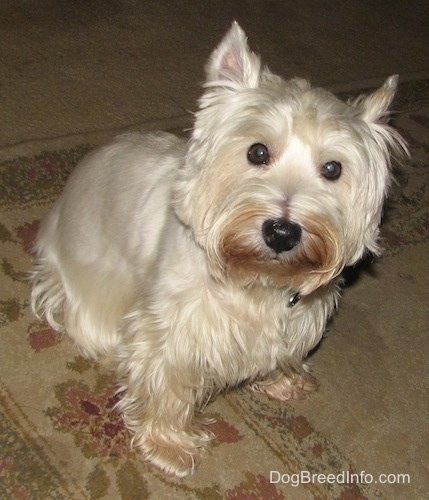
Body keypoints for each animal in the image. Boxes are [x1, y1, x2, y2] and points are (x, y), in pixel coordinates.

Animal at [30, 23, 404, 476]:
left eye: (333, 168)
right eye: (257, 151)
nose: (282, 232)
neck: (257, 278)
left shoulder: (298, 318)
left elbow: (283, 352)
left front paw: (284, 381)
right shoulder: (173, 329)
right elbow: (166, 385)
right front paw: (170, 446)